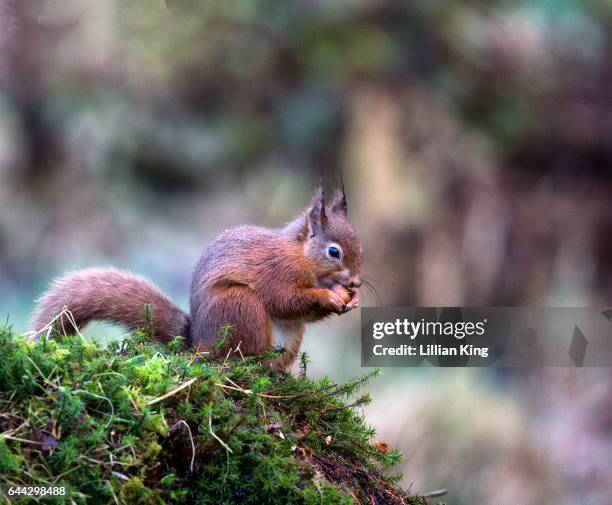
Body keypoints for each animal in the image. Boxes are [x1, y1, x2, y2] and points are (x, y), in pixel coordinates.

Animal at [29, 185, 364, 370]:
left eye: (360, 247)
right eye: (334, 252)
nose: (357, 282)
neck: (301, 255)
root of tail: (199, 343)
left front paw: (352, 300)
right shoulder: (275, 270)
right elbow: (284, 299)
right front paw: (328, 296)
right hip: (239, 307)